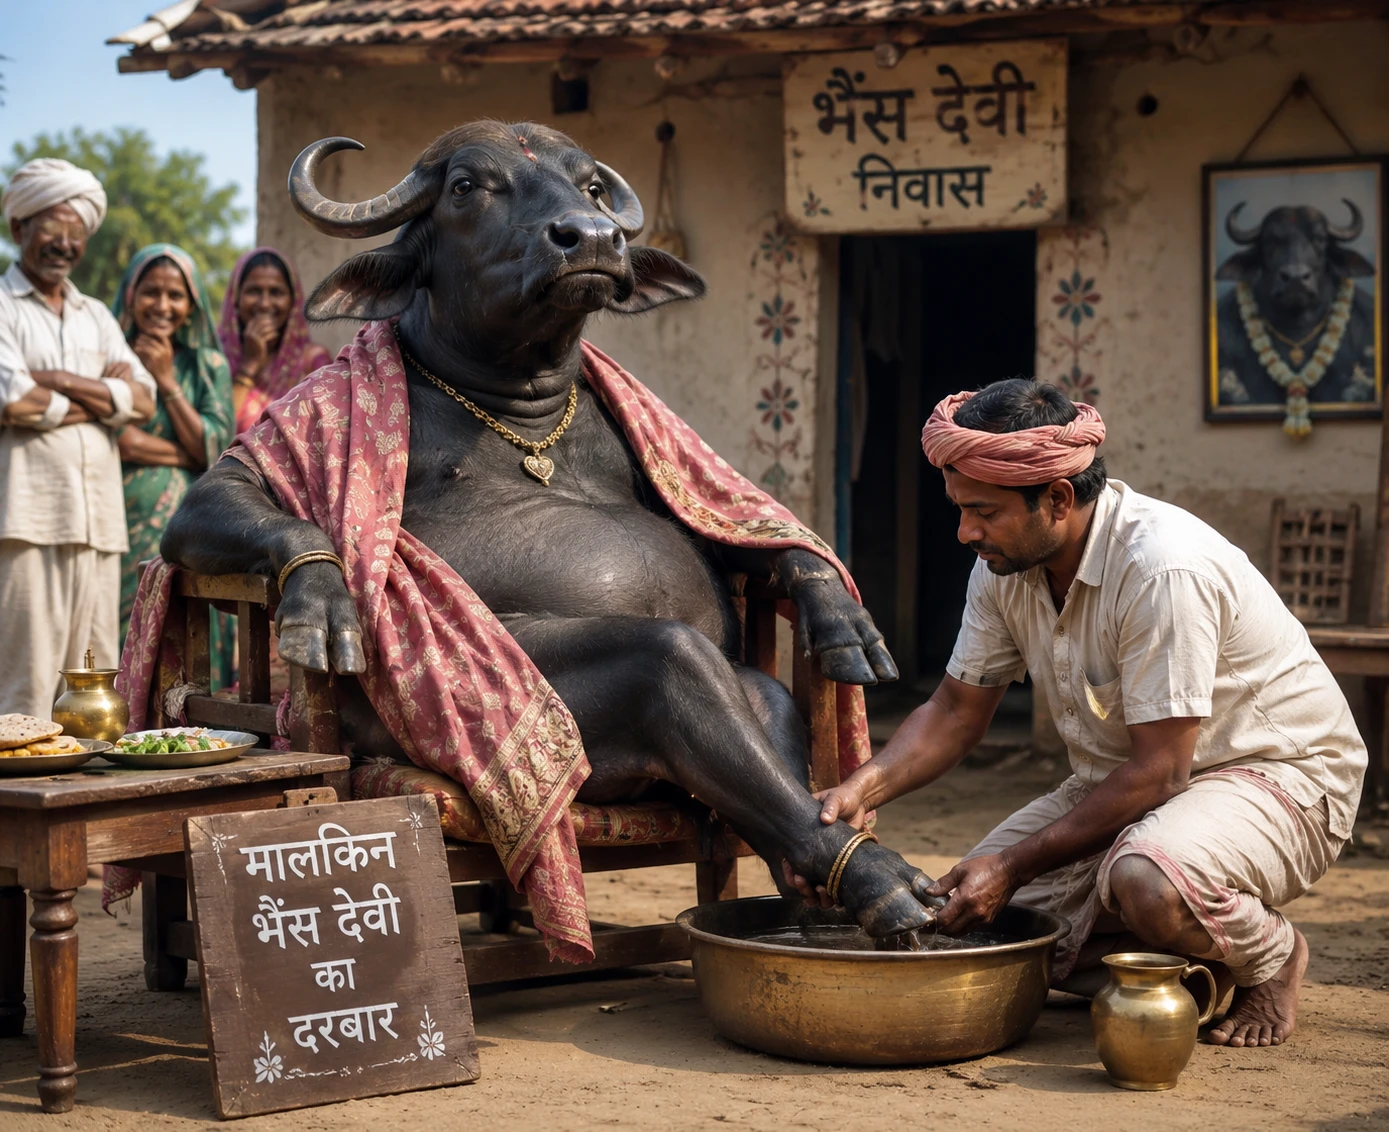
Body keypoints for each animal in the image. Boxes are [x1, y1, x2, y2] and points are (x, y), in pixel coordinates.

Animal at [162, 122, 939, 944]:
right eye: (466, 186)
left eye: (591, 186)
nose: (590, 237)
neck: (519, 405)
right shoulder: (279, 438)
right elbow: (224, 499)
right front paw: (323, 599)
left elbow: (752, 536)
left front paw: (843, 618)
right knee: (673, 658)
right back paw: (881, 885)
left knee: (766, 705)